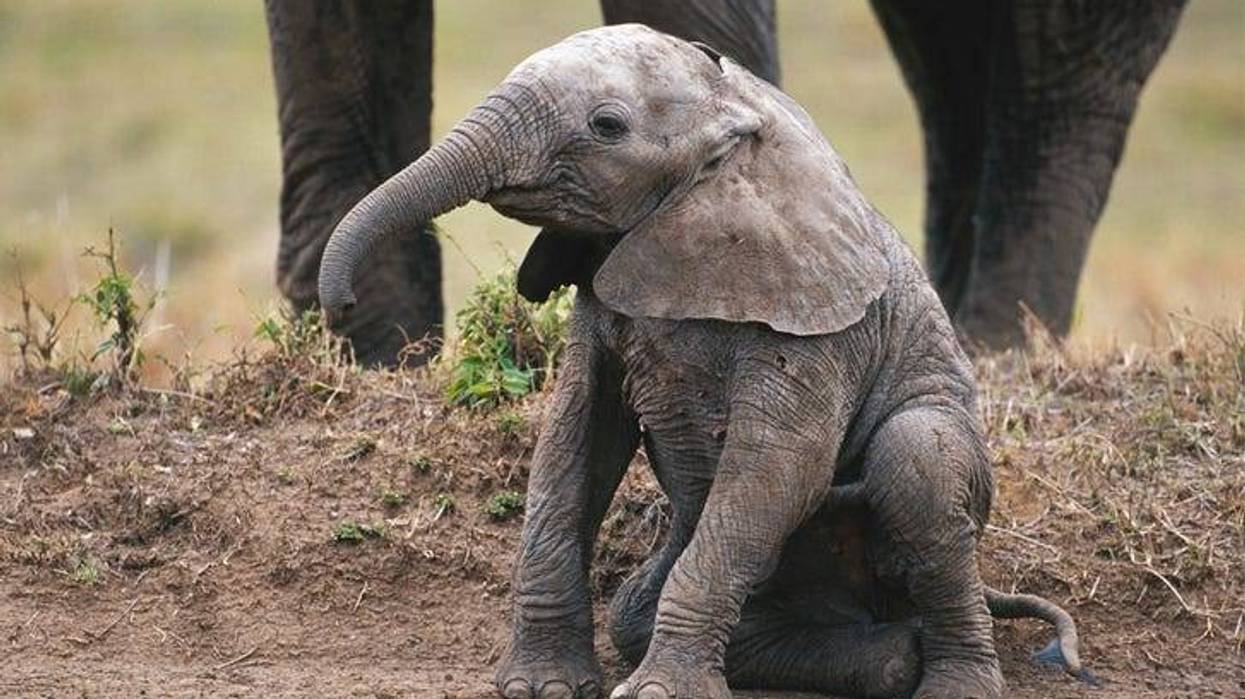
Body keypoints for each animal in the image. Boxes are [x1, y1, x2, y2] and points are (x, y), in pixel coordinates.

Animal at [316, 25, 1087, 699]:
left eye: (606, 126)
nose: (339, 304)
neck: (732, 116)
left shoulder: (817, 318)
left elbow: (778, 465)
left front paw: (657, 693)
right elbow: (574, 443)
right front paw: (543, 687)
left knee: (916, 456)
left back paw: (950, 680)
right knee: (636, 612)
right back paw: (892, 660)